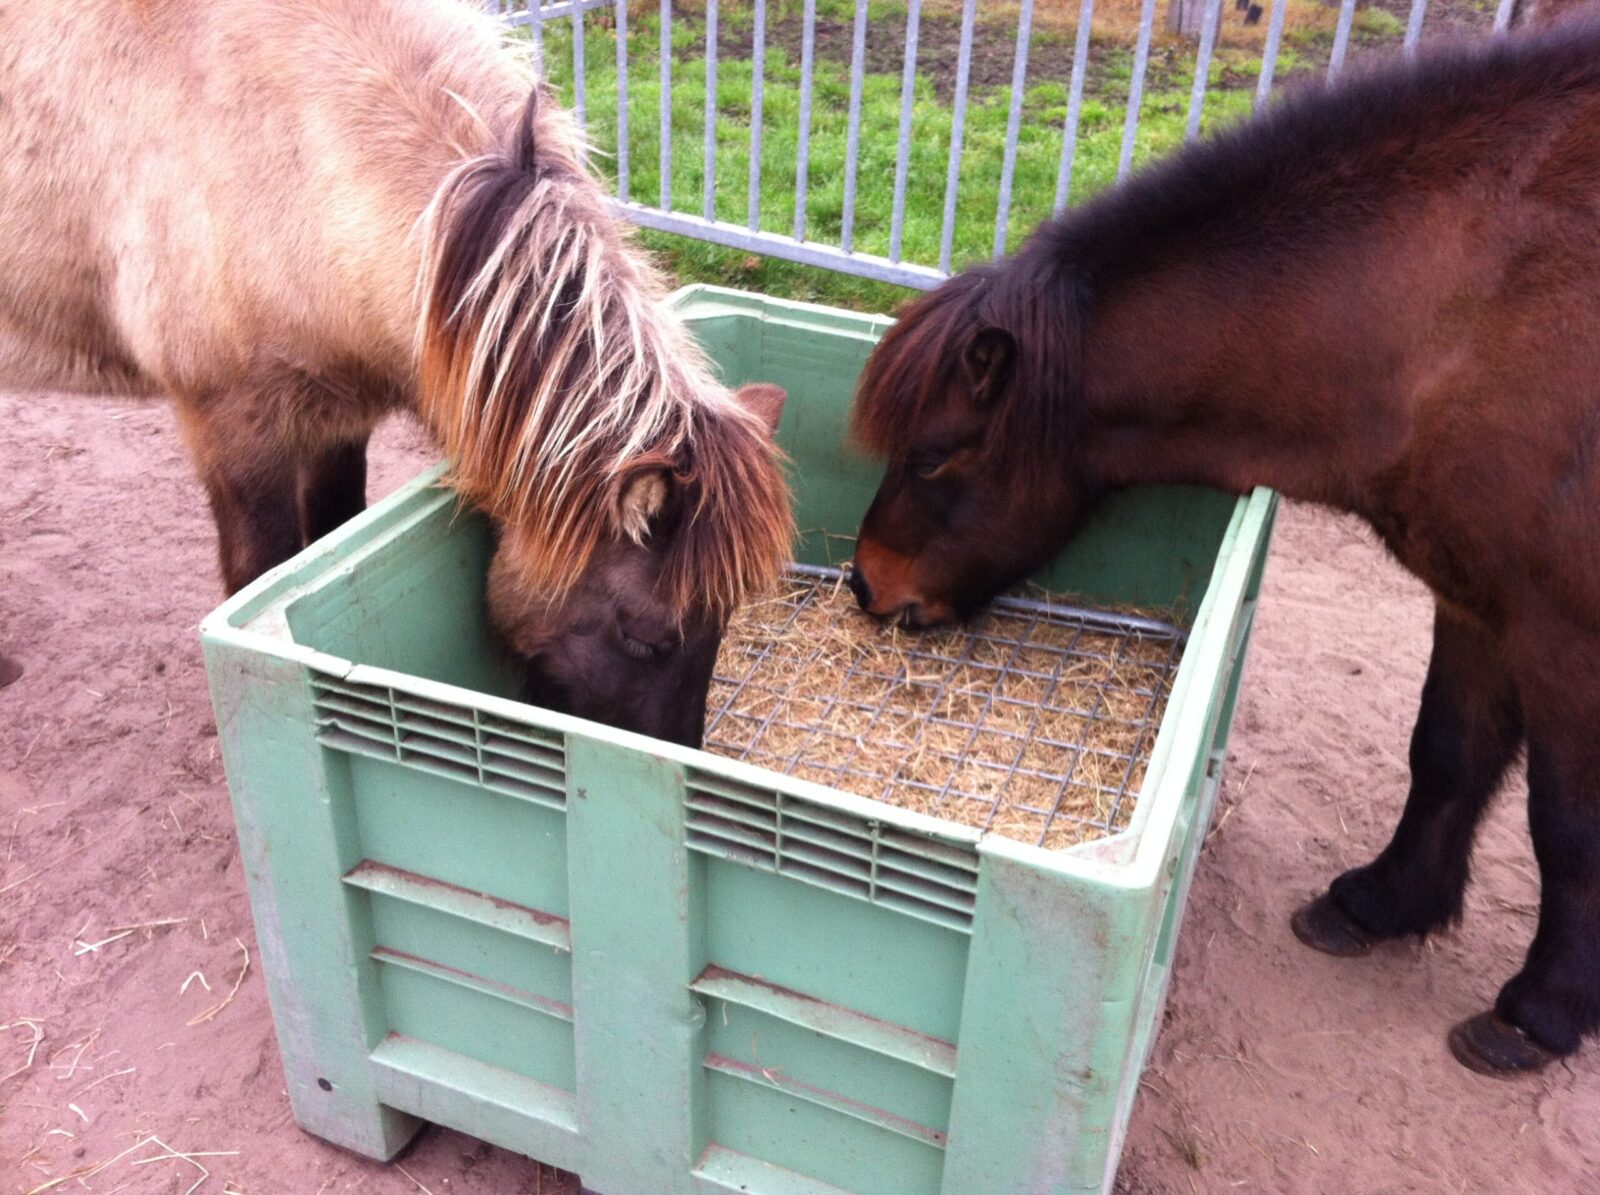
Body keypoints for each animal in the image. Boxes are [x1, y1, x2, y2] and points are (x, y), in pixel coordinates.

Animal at [0, 0, 792, 747]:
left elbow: (329, 535)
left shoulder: (338, 417)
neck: (296, 146)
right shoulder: (233, 429)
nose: (678, 753)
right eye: (644, 636)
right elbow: (262, 572)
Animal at [846, 13, 1600, 1076]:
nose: (863, 583)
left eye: (934, 455)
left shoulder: (1565, 634)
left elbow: (1567, 827)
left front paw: (1540, 1009)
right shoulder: (1475, 597)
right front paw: (1382, 903)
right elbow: (1447, 751)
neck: (1458, 307)